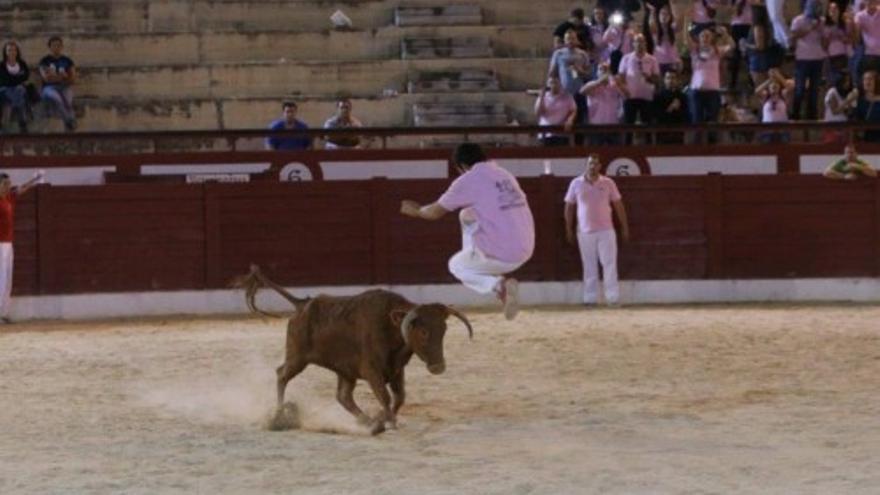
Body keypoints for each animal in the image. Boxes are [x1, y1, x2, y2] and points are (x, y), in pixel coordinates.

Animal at [234, 268, 474, 434]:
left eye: (443, 329)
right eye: (423, 332)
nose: (439, 367)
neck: (391, 327)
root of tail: (302, 304)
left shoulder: (397, 371)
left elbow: (400, 397)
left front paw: (382, 419)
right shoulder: (372, 371)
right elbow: (385, 396)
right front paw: (388, 422)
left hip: (344, 371)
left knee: (343, 396)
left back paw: (366, 421)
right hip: (297, 358)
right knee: (282, 374)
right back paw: (278, 415)